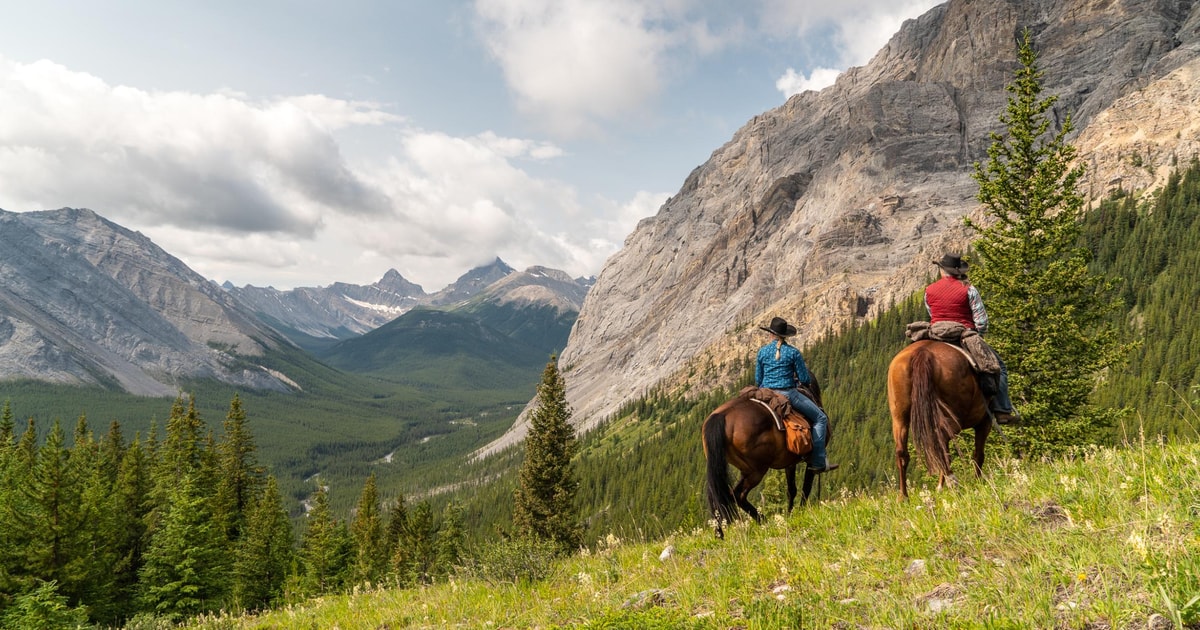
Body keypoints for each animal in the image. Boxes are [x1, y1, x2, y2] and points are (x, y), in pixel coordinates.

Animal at [700, 376, 825, 537]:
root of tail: (721, 416)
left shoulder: (790, 463)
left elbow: (791, 489)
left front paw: (790, 513)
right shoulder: (811, 460)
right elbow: (806, 487)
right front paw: (801, 510)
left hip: (737, 468)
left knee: (727, 494)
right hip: (757, 470)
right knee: (738, 495)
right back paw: (765, 521)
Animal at [892, 340, 993, 499]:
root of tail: (923, 351)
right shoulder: (985, 421)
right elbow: (978, 454)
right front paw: (978, 483)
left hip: (899, 417)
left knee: (902, 452)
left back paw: (903, 497)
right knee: (943, 444)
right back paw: (952, 483)